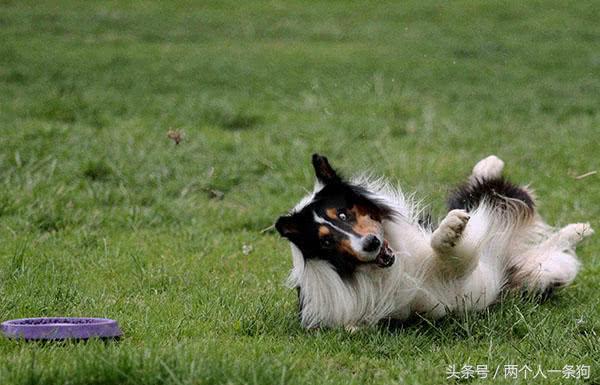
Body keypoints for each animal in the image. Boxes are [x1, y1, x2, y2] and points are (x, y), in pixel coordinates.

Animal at [276, 154, 596, 328]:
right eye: (326, 243)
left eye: (343, 213)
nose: (370, 244)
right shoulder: (445, 287)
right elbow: (449, 251)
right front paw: (451, 230)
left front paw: (451, 226)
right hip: (543, 272)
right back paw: (580, 229)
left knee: (498, 191)